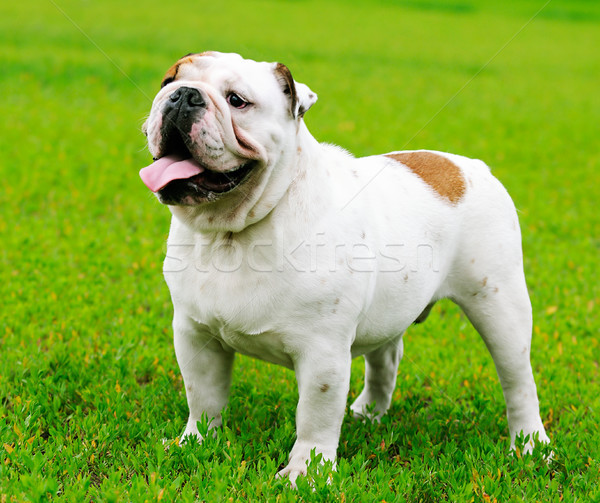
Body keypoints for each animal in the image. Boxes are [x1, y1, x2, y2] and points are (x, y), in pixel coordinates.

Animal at [139, 51, 548, 484]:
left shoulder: (322, 354)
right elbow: (204, 397)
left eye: (237, 101)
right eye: (168, 81)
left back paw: (530, 447)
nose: (183, 95)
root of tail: (473, 167)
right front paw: (195, 443)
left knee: (518, 380)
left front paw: (306, 474)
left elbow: (314, 418)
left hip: (500, 307)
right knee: (386, 358)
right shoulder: (195, 335)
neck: (232, 233)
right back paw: (369, 413)